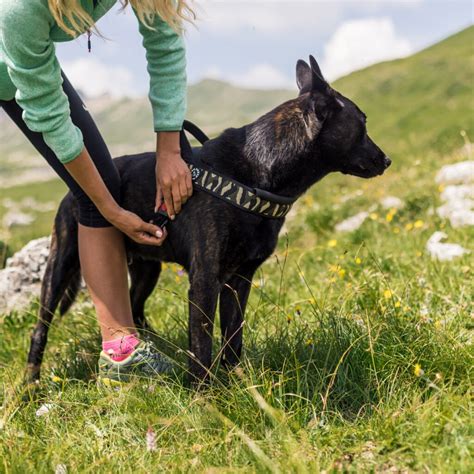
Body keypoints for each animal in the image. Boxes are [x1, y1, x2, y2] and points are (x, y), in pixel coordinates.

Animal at [26, 58, 388, 386]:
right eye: (363, 123)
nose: (386, 160)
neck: (254, 173)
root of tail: (74, 190)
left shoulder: (238, 281)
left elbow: (233, 340)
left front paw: (238, 383)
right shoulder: (205, 279)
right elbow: (201, 345)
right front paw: (203, 393)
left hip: (147, 269)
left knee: (135, 308)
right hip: (61, 267)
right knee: (39, 330)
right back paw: (31, 386)